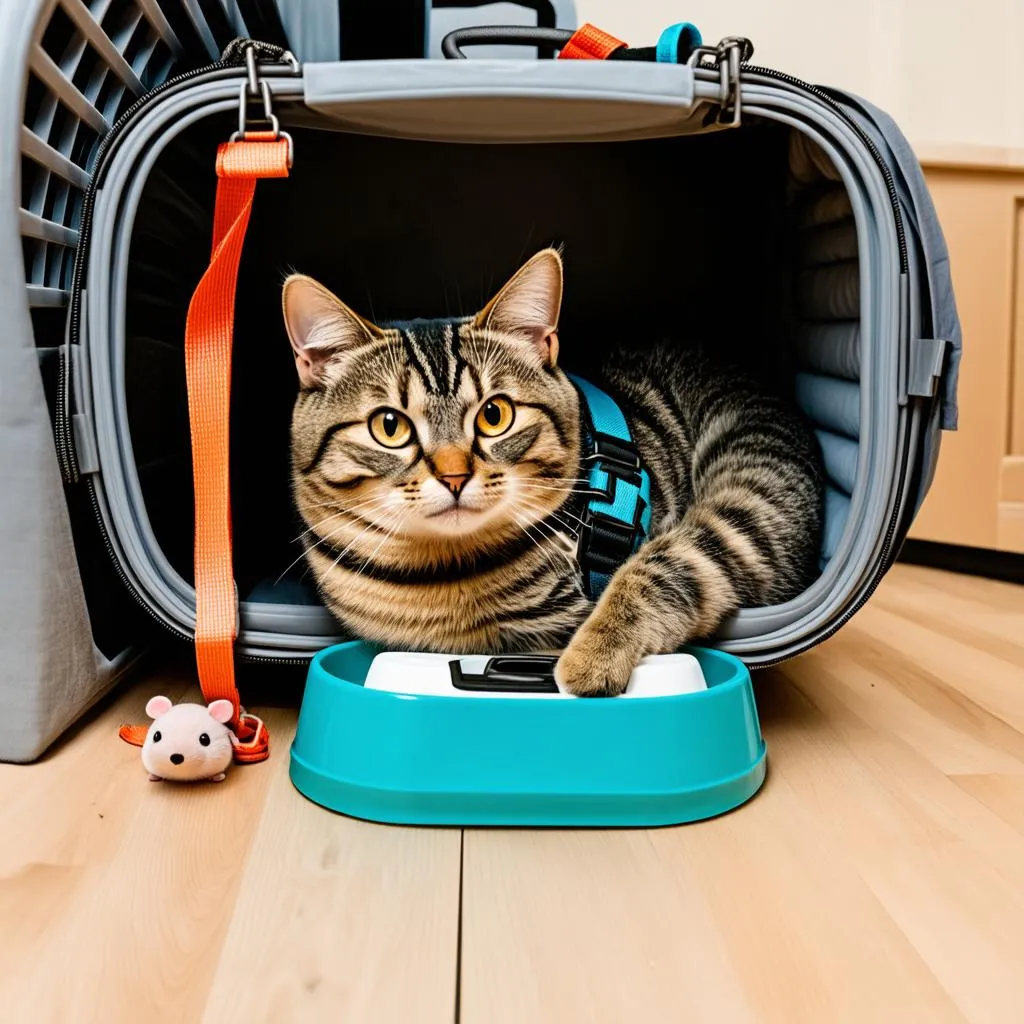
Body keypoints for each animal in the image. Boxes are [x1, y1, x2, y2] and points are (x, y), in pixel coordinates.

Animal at [282, 249, 823, 696]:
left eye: (494, 415)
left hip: (757, 493)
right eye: (389, 426)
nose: (455, 477)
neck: (442, 576)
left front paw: (588, 653)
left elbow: (660, 569)